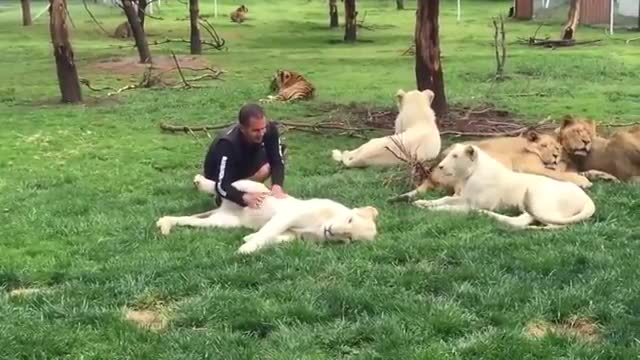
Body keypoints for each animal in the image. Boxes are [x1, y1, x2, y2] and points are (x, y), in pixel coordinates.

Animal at [156, 176, 380, 255]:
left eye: (348, 238)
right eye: (349, 220)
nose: (331, 231)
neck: (320, 226)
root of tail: (224, 208)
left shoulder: (294, 235)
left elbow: (275, 237)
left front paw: (248, 239)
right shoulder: (289, 215)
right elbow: (269, 231)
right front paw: (245, 249)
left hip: (221, 223)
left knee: (189, 220)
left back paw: (164, 225)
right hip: (252, 186)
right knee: (223, 183)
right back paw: (199, 181)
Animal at [412, 143, 596, 228]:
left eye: (455, 156)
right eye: (449, 154)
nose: (440, 166)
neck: (469, 176)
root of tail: (587, 199)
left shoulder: (472, 203)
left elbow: (451, 208)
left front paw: (429, 209)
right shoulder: (463, 197)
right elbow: (443, 199)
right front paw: (422, 203)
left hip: (539, 199)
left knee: (524, 221)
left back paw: (485, 215)